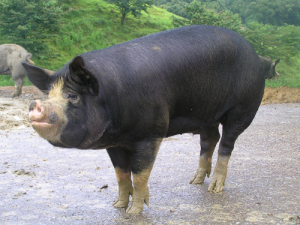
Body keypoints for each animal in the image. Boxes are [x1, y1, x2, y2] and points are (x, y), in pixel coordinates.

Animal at [22, 25, 264, 214]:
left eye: (72, 96)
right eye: (48, 94)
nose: (35, 105)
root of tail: (254, 53)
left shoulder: (151, 133)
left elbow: (140, 174)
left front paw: (134, 212)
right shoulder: (113, 142)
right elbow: (121, 173)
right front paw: (117, 205)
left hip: (244, 108)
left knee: (227, 143)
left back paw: (214, 188)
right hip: (206, 114)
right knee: (209, 139)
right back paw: (195, 181)